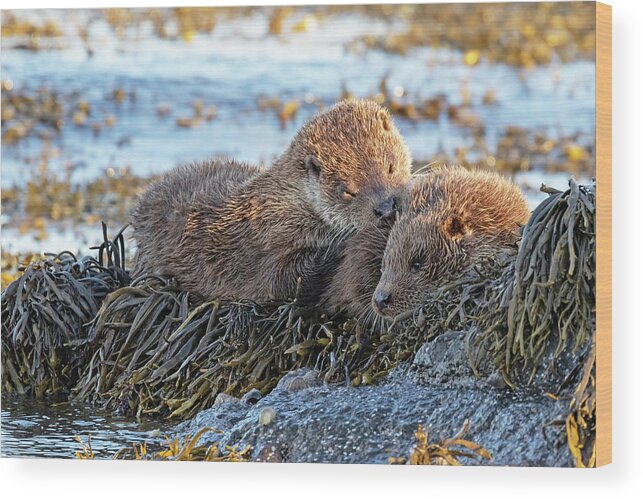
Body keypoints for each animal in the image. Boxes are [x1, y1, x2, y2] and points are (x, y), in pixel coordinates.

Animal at [132, 100, 412, 304]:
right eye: (348, 191)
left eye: (390, 167)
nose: (386, 207)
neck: (289, 204)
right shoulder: (269, 241)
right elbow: (285, 280)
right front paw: (344, 244)